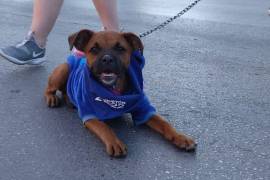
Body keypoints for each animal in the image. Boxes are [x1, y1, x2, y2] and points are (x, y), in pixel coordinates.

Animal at [44, 29, 196, 158]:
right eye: (94, 49)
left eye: (120, 48)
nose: (107, 59)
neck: (114, 91)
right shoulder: (90, 115)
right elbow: (104, 127)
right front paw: (115, 142)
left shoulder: (145, 110)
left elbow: (165, 123)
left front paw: (180, 137)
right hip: (64, 69)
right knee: (49, 89)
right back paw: (52, 98)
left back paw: (69, 100)